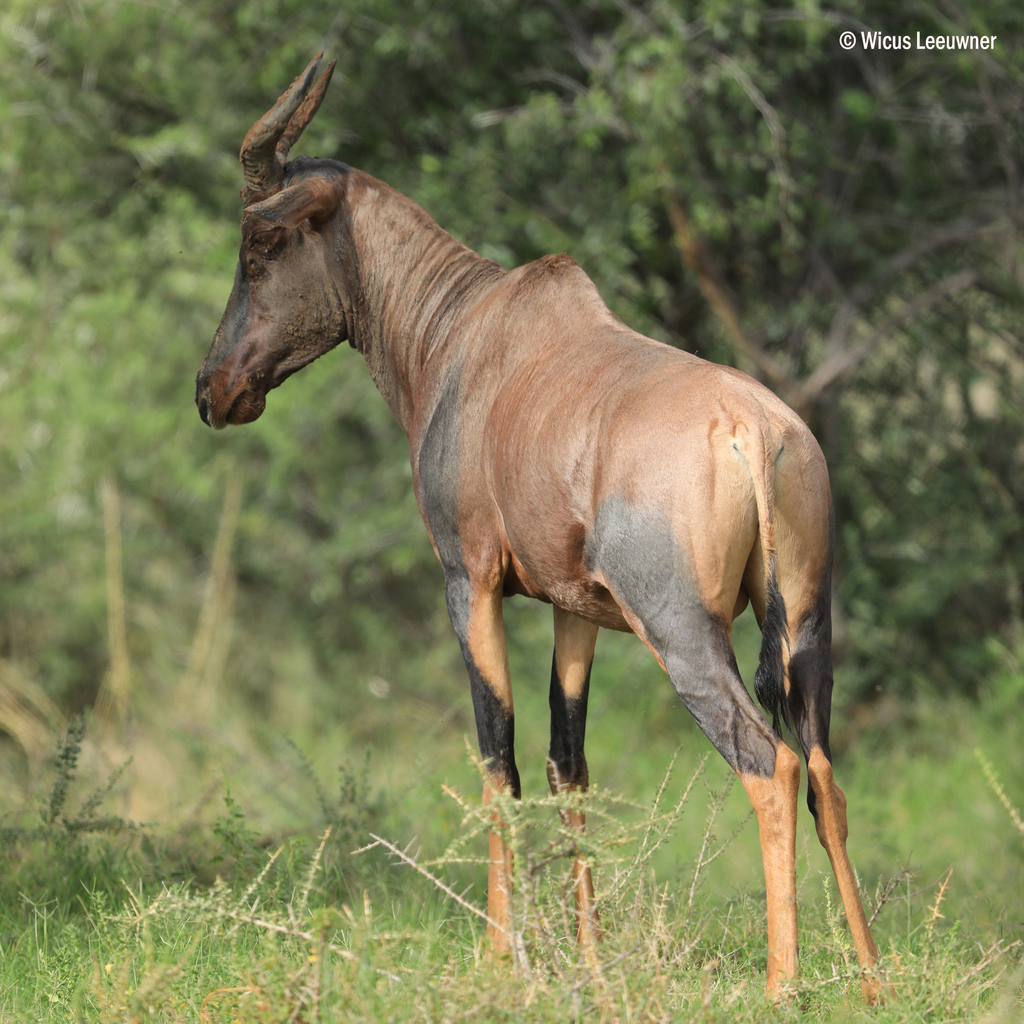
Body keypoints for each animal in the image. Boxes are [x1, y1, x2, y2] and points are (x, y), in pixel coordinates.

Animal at [197, 56, 880, 999]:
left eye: (259, 248)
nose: (213, 390)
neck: (472, 333)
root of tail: (754, 431)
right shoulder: (572, 608)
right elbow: (570, 767)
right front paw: (589, 965)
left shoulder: (470, 582)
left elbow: (499, 761)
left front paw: (498, 959)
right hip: (808, 627)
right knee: (823, 774)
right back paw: (874, 980)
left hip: (683, 632)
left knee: (768, 764)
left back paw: (782, 985)